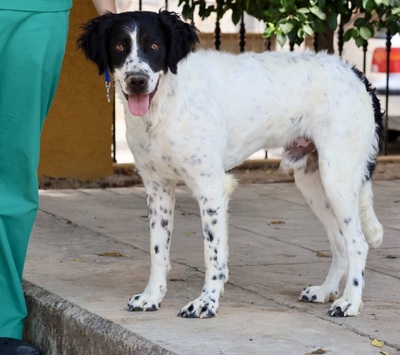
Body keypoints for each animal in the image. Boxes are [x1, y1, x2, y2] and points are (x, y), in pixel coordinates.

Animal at [77, 9, 384, 320]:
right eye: (119, 46)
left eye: (154, 46)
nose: (136, 80)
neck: (165, 106)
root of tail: (357, 74)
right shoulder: (158, 189)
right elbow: (157, 251)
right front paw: (152, 297)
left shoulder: (211, 187)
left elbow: (213, 254)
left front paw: (206, 302)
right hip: (312, 181)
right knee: (340, 242)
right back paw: (326, 291)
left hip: (337, 178)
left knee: (357, 243)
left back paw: (349, 302)